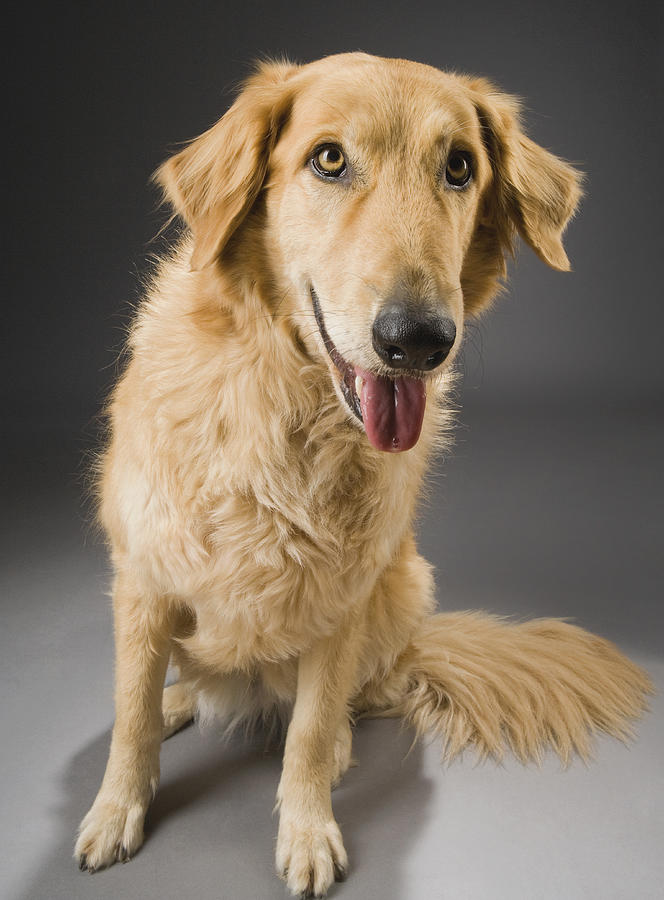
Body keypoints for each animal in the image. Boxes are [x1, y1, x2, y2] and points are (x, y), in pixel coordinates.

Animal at [72, 52, 648, 896]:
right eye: (329, 159)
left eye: (459, 166)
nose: (419, 340)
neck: (286, 405)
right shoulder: (142, 577)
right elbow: (131, 713)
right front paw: (117, 810)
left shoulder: (340, 598)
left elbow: (309, 730)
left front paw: (307, 828)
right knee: (179, 685)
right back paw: (182, 698)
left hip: (402, 585)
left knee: (348, 699)